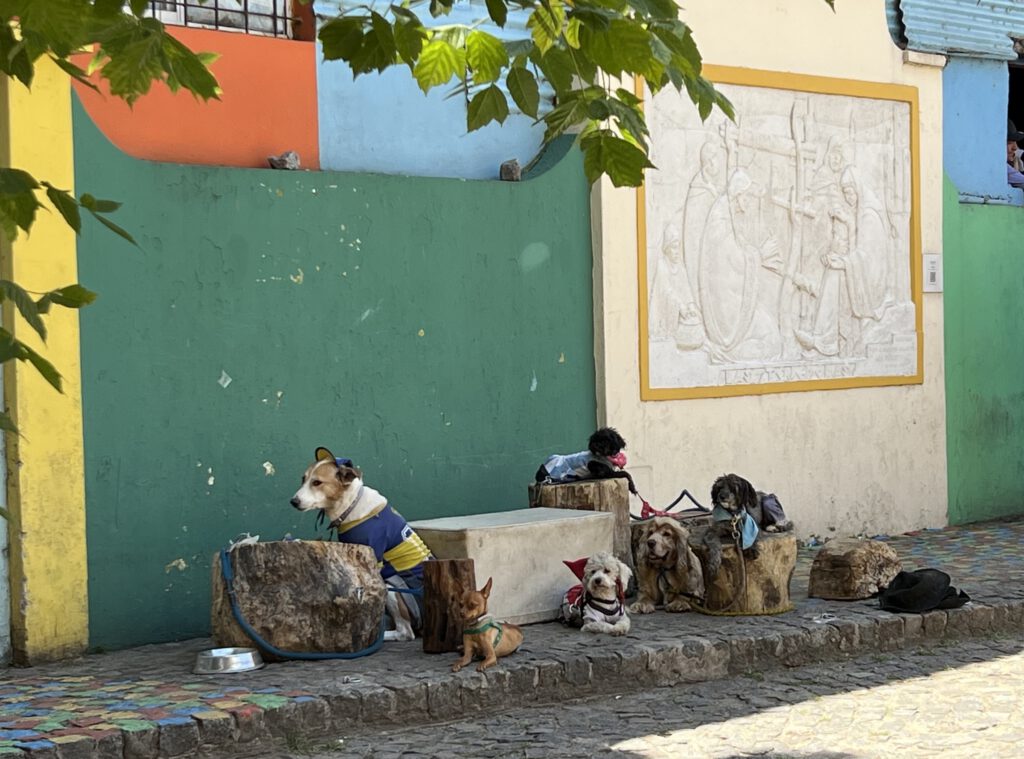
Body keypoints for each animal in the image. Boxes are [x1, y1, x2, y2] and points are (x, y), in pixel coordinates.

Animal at [290, 446, 434, 643]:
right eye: (303, 479)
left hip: (393, 587)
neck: (350, 505)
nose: (293, 501)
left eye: (317, 482)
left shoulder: (373, 558)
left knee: (405, 632)